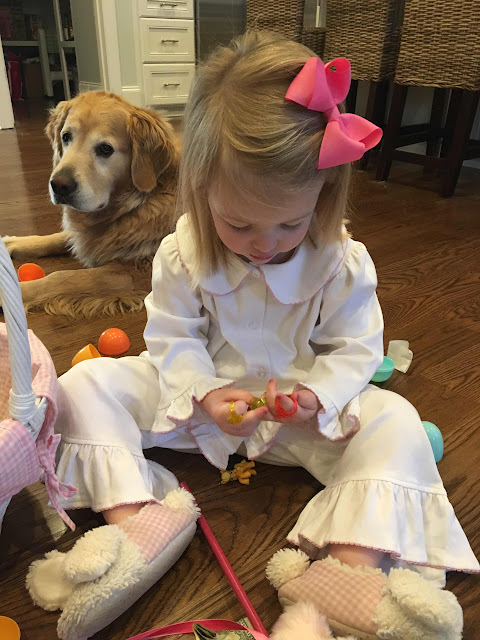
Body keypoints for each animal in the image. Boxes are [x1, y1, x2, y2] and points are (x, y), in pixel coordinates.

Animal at [4, 91, 179, 317]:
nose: (59, 185)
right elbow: (57, 237)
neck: (136, 203)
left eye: (105, 149)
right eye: (66, 137)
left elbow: (63, 277)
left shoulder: (130, 273)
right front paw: (14, 243)